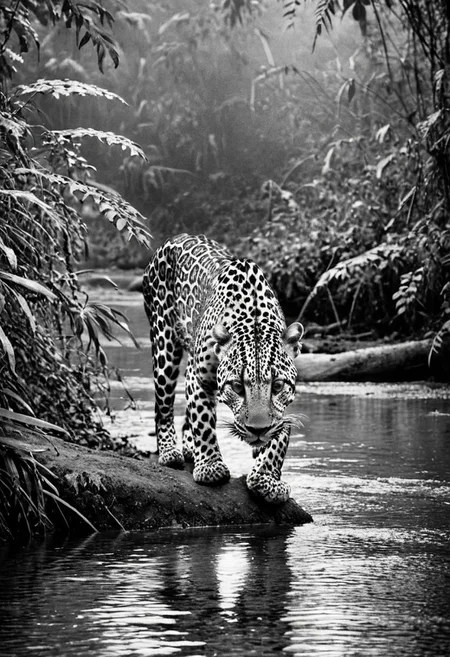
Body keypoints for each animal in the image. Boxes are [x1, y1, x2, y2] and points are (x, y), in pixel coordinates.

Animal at [143, 234, 303, 504]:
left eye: (278, 385)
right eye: (237, 386)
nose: (258, 430)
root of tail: (176, 238)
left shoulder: (283, 409)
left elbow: (277, 440)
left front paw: (267, 480)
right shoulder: (198, 377)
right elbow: (203, 420)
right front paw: (210, 467)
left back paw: (189, 448)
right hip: (163, 343)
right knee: (162, 406)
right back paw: (170, 452)